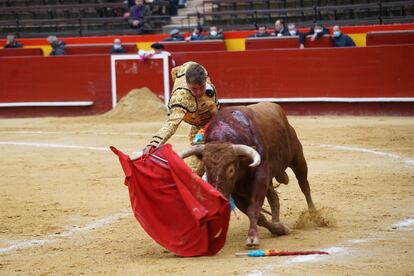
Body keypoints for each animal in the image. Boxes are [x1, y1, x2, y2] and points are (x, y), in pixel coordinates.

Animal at [180, 102, 314, 247]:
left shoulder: (260, 178)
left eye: (231, 170)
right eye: (206, 167)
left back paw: (314, 215)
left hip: (297, 158)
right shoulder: (236, 192)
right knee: (274, 198)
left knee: (304, 185)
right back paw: (277, 221)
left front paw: (252, 237)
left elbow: (253, 208)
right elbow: (258, 215)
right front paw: (279, 229)